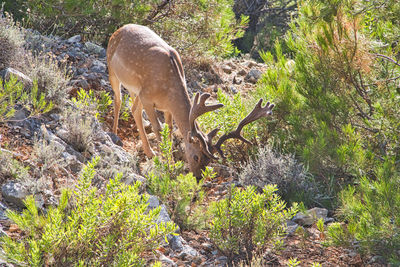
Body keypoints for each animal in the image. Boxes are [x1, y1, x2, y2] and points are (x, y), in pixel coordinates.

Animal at [106, 24, 276, 179]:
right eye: (196, 156)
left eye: (209, 161)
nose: (198, 178)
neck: (168, 90)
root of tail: (119, 29)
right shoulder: (147, 97)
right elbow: (158, 128)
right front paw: (166, 163)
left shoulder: (166, 107)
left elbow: (169, 130)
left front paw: (171, 161)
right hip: (112, 69)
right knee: (118, 100)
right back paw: (115, 135)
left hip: (135, 90)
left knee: (134, 109)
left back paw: (148, 151)